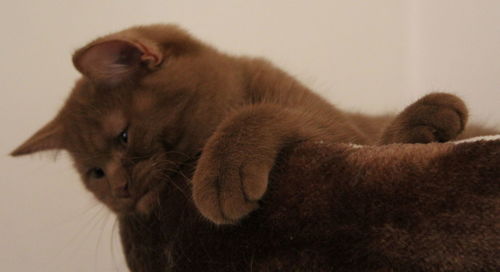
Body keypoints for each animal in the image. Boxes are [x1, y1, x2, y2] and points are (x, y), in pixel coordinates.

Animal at [9, 24, 494, 270]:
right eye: (94, 174)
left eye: (123, 136)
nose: (119, 189)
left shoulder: (338, 129)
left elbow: (260, 113)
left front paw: (223, 169)